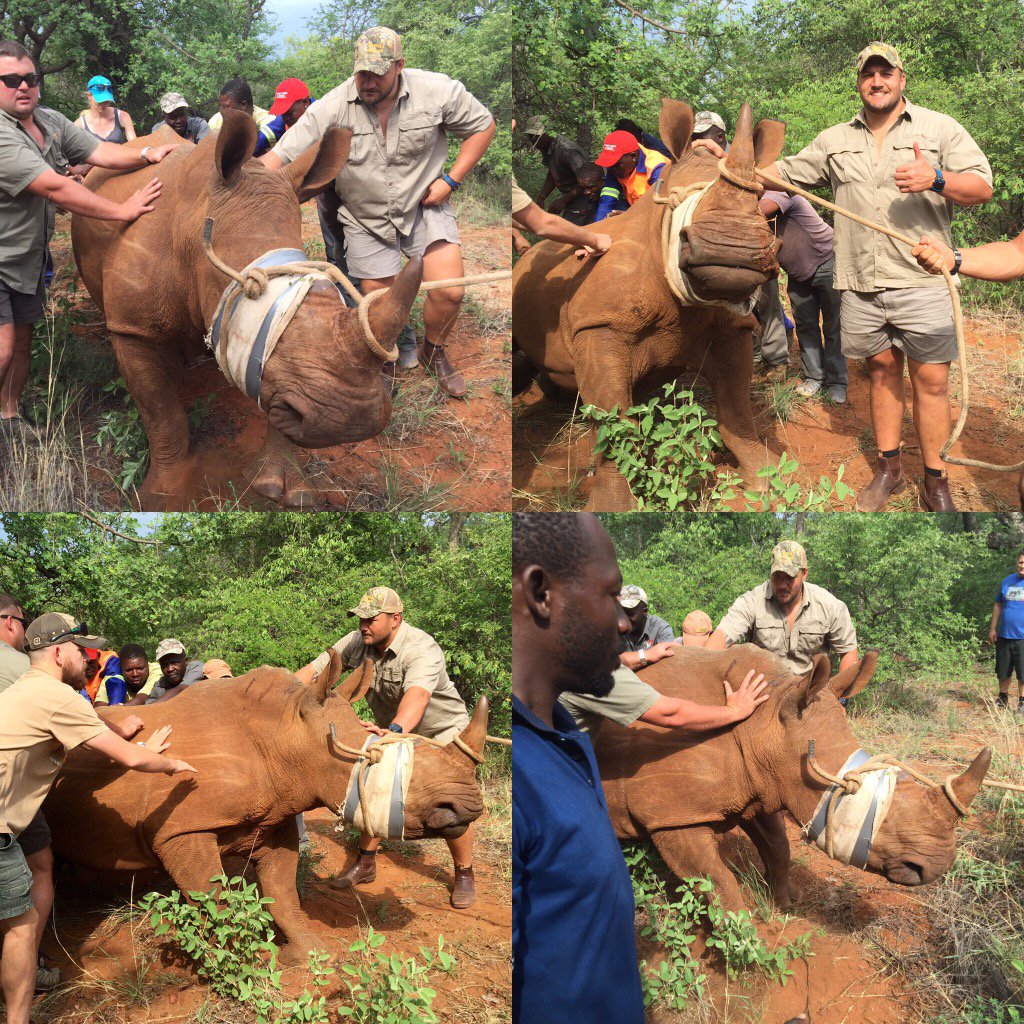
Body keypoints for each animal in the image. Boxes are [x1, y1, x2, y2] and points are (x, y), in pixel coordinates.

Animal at [43, 651, 487, 958]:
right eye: (375, 763)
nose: (468, 808)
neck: (284, 733)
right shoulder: (181, 827)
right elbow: (214, 899)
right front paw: (239, 959)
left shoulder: (277, 816)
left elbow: (282, 891)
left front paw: (308, 952)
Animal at [71, 109, 422, 509]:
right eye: (252, 293)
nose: (348, 418)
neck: (193, 227)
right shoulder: (132, 327)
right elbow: (160, 410)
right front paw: (160, 497)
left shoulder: (275, 369)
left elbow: (274, 394)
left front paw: (286, 492)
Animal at [512, 100, 785, 511]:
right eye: (682, 202)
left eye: (758, 203)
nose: (734, 248)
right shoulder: (599, 325)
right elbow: (613, 424)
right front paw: (613, 507)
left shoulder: (729, 327)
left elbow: (736, 408)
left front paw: (768, 478)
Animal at [593, 645, 991, 910]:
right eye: (852, 791)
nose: (936, 868)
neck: (765, 717)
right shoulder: (673, 816)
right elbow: (718, 882)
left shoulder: (761, 783)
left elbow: (778, 848)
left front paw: (787, 902)